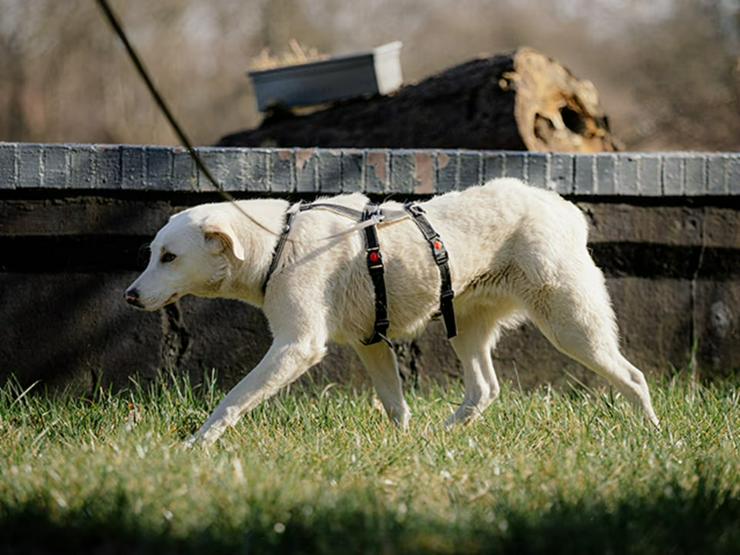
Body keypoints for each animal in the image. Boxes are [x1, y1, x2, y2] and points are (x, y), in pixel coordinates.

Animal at [125, 179, 660, 448]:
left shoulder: (296, 347)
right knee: (485, 389)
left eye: (169, 257)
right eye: (152, 253)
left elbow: (233, 399)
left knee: (633, 376)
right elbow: (395, 404)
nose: (129, 297)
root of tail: (563, 208)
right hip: (466, 322)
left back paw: (653, 433)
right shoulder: (370, 344)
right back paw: (441, 434)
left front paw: (197, 445)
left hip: (570, 323)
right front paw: (402, 443)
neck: (279, 242)